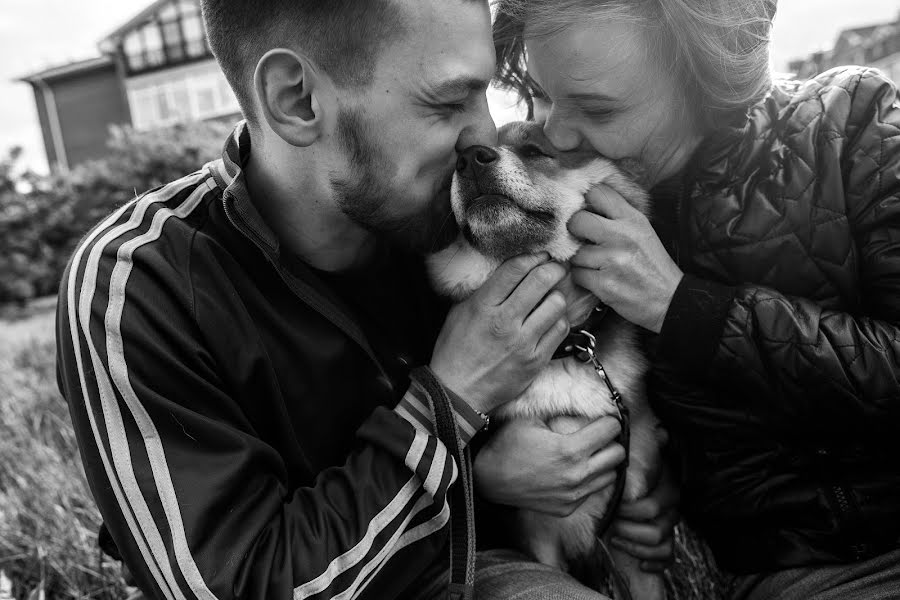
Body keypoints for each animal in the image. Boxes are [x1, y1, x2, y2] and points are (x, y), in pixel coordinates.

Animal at [428, 122, 668, 600]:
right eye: (458, 156)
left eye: (537, 150)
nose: (470, 158)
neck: (565, 349)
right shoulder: (537, 536)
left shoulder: (630, 519)